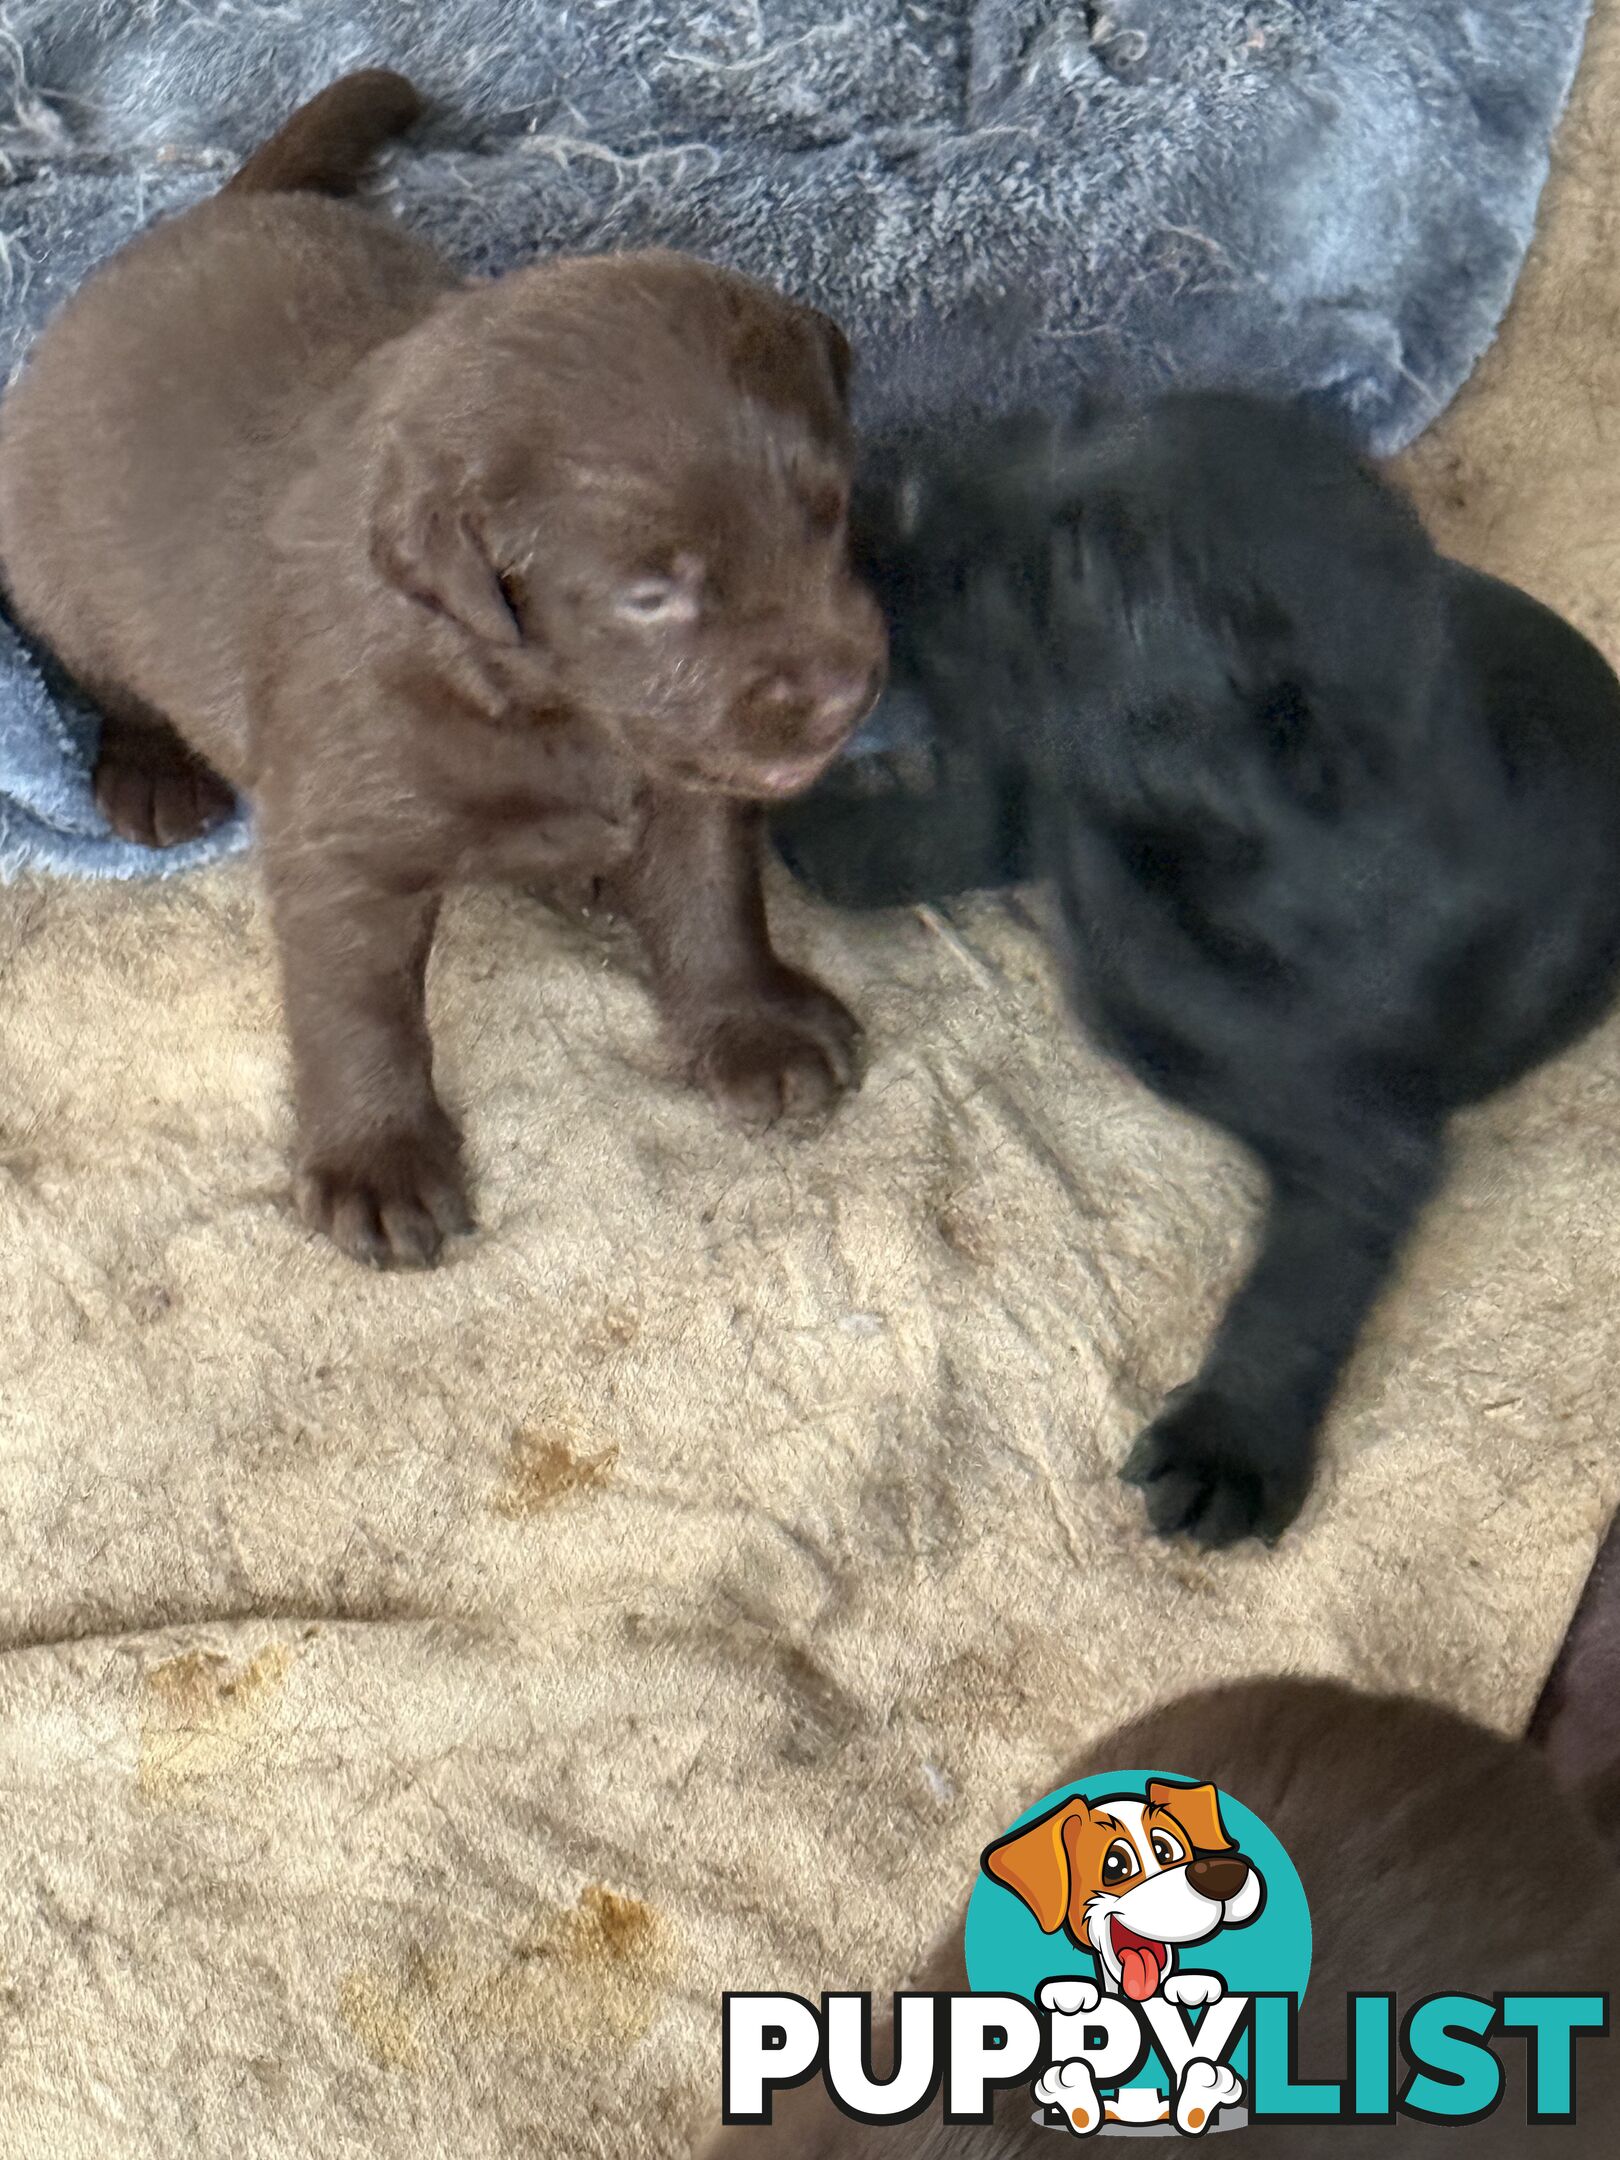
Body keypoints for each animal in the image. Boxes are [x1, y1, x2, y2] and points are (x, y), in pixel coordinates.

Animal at [0, 71, 889, 1261]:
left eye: (831, 513)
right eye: (651, 595)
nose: (847, 693)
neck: (546, 707)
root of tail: (212, 210)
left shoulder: (687, 781)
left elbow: (713, 899)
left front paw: (755, 1024)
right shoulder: (344, 846)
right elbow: (360, 1011)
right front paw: (377, 1159)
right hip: (57, 576)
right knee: (114, 682)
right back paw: (153, 773)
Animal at [781, 397, 1620, 1546]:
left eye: (1079, 571)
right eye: (1069, 422)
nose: (881, 484)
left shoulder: (1362, 1143)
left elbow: (1297, 1287)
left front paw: (1231, 1444)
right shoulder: (1054, 785)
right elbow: (961, 819)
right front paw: (828, 826)